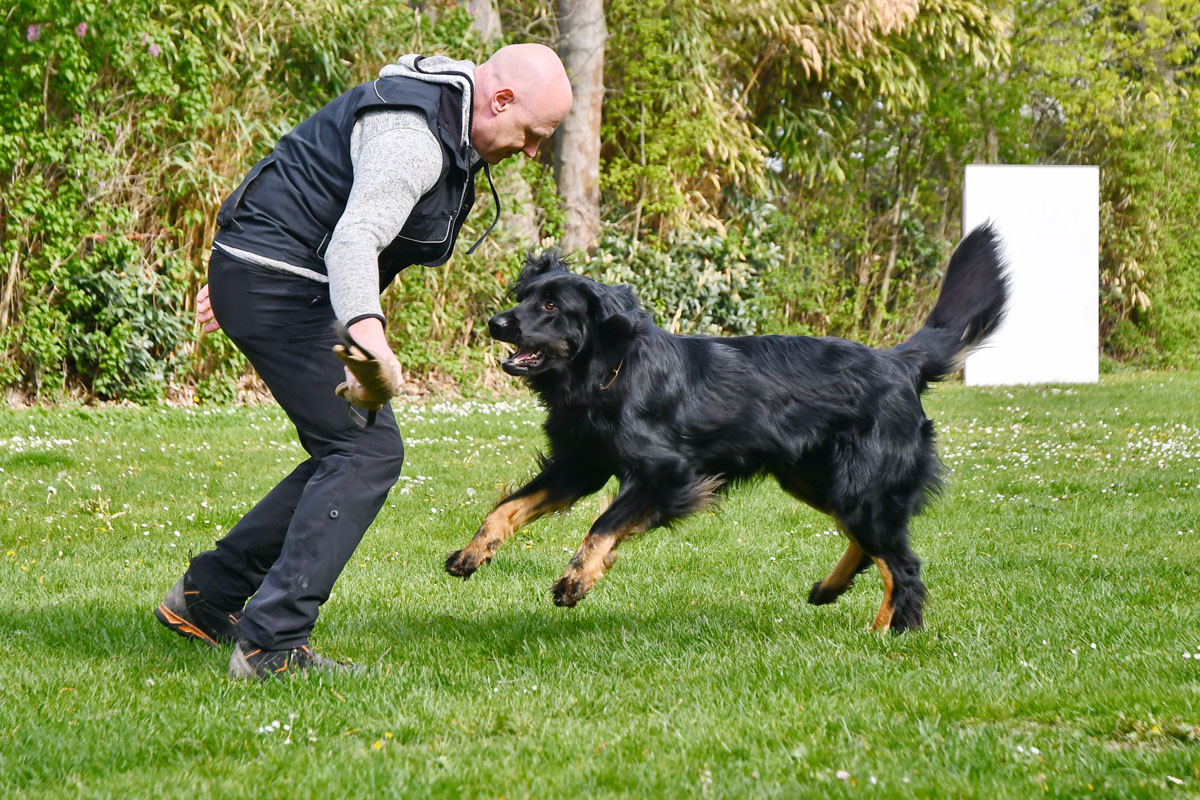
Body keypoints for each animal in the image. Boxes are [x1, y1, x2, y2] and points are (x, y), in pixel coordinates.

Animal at [446, 224, 1008, 633]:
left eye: (550, 306)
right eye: (523, 296)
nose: (496, 323)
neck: (610, 370)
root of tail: (899, 362)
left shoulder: (667, 474)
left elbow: (602, 525)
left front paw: (576, 579)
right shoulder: (578, 466)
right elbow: (507, 508)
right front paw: (474, 552)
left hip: (858, 485)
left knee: (903, 565)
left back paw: (889, 632)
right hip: (815, 480)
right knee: (874, 547)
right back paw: (831, 590)